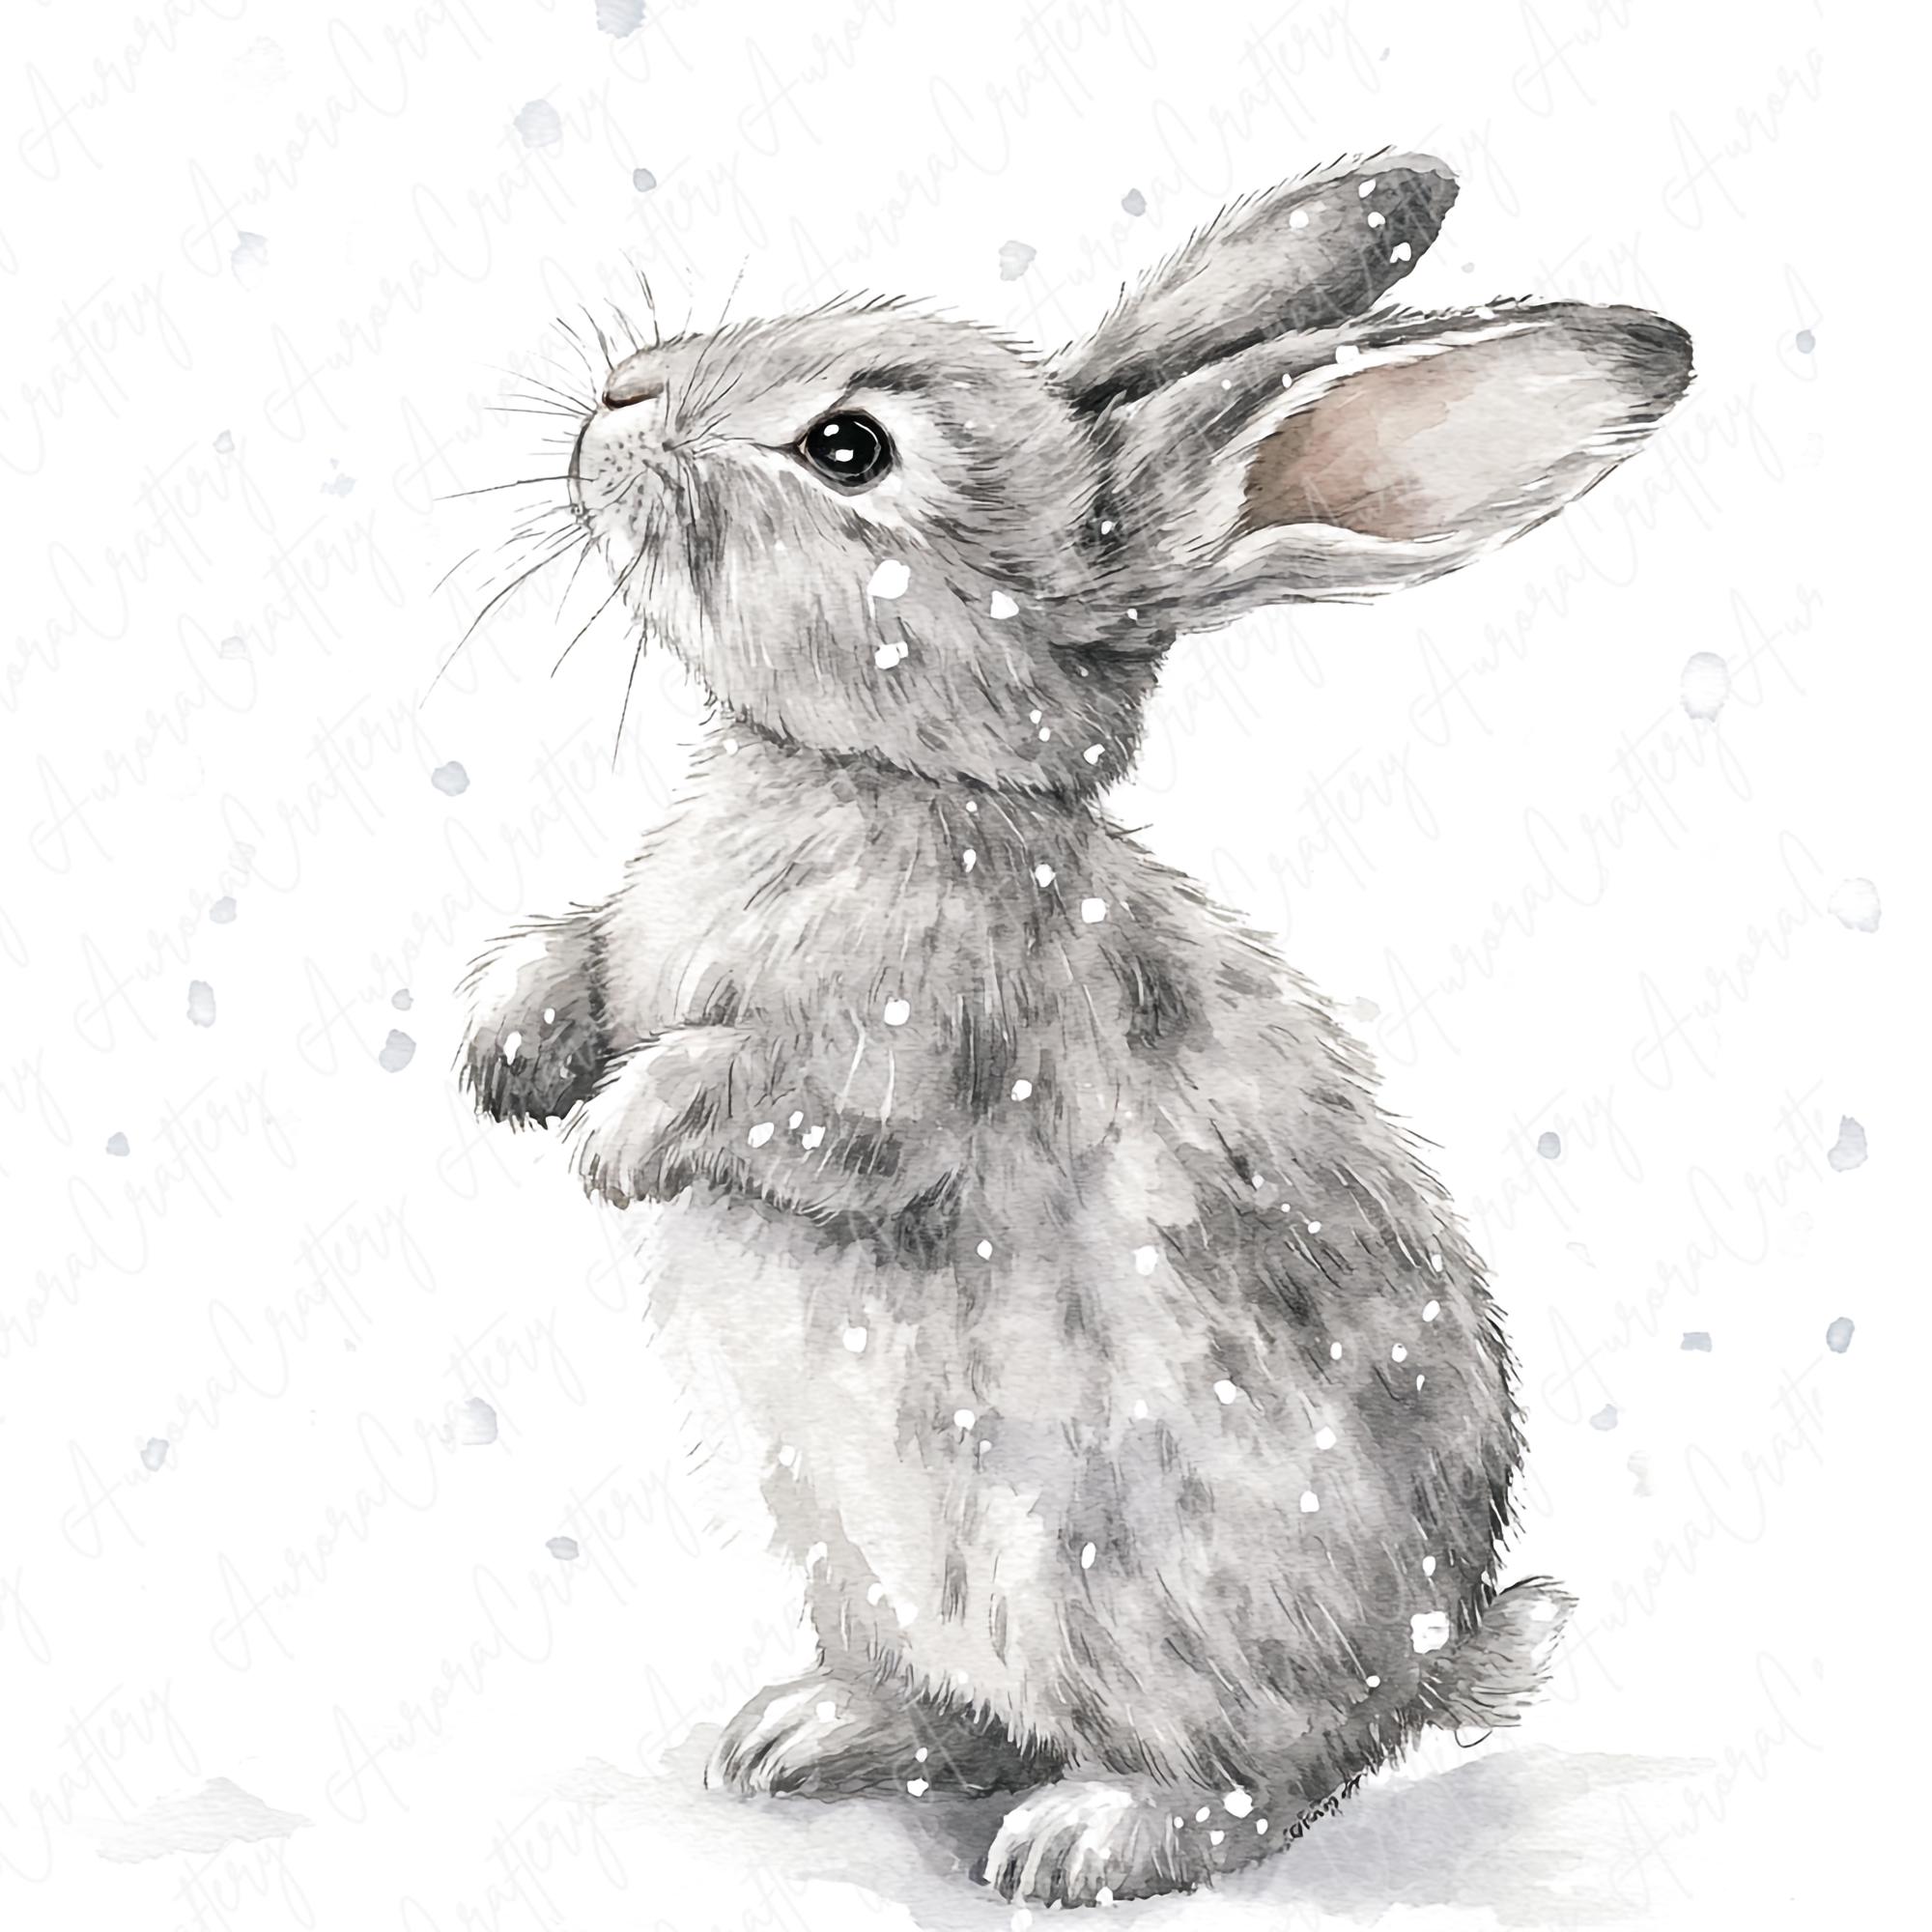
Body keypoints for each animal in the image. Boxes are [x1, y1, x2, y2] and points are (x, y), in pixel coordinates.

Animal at [458, 150, 1689, 1908]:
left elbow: (773, 1096)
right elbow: (575, 959)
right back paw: (803, 1737)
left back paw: (1082, 1838)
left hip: (1117, 1597)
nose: (621, 392)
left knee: (1259, 1784)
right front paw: (504, 1058)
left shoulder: (915, 1053)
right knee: (960, 1717)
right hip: (861, 1566)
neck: (881, 779)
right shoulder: (635, 949)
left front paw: (618, 1143)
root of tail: (1432, 1659)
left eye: (850, 446)